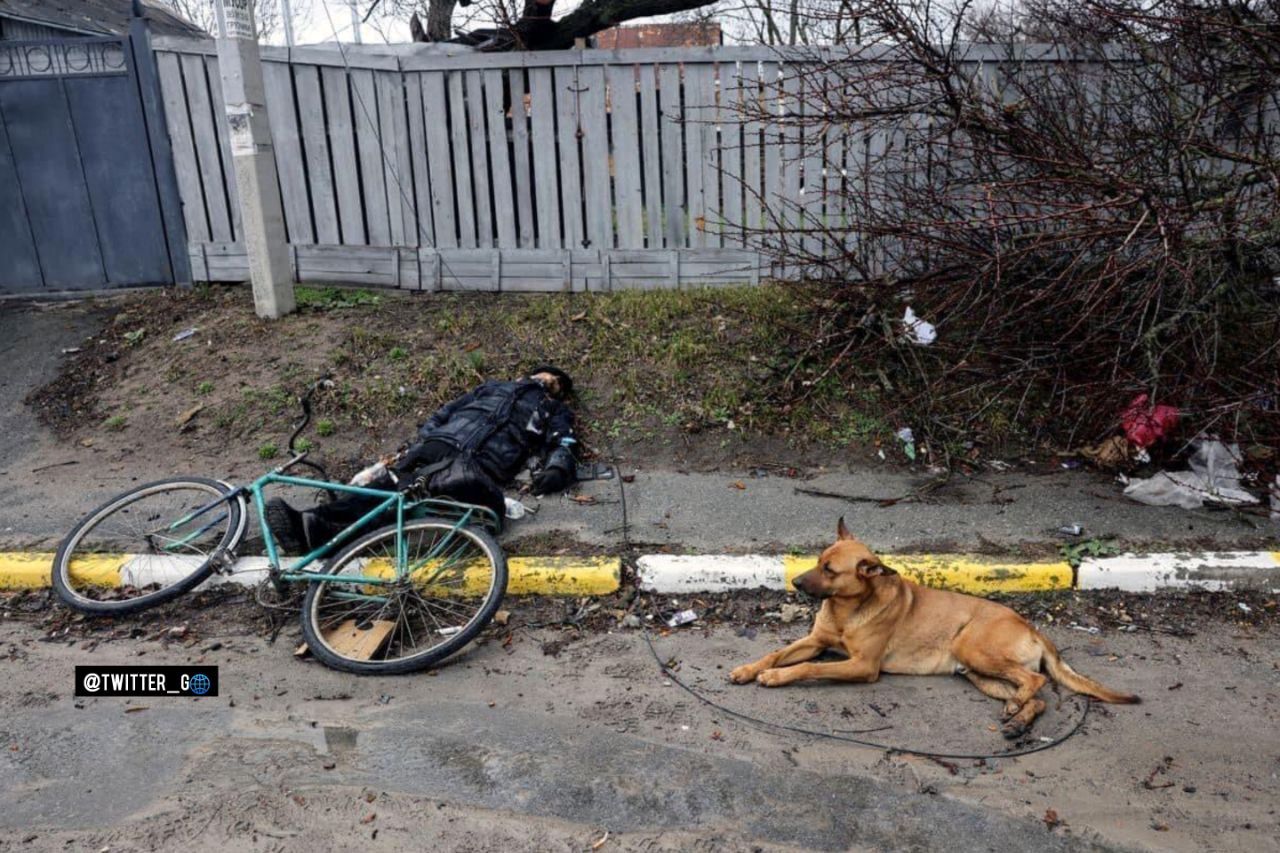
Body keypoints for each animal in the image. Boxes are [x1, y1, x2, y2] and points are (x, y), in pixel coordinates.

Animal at [732, 514, 1141, 732]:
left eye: (830, 570)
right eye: (819, 560)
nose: (796, 583)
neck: (848, 609)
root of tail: (1032, 628)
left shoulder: (863, 666)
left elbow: (808, 668)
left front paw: (777, 677)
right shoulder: (815, 641)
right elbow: (775, 653)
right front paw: (749, 669)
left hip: (971, 648)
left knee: (1036, 681)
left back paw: (1019, 711)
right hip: (980, 674)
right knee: (1036, 696)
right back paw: (1019, 718)